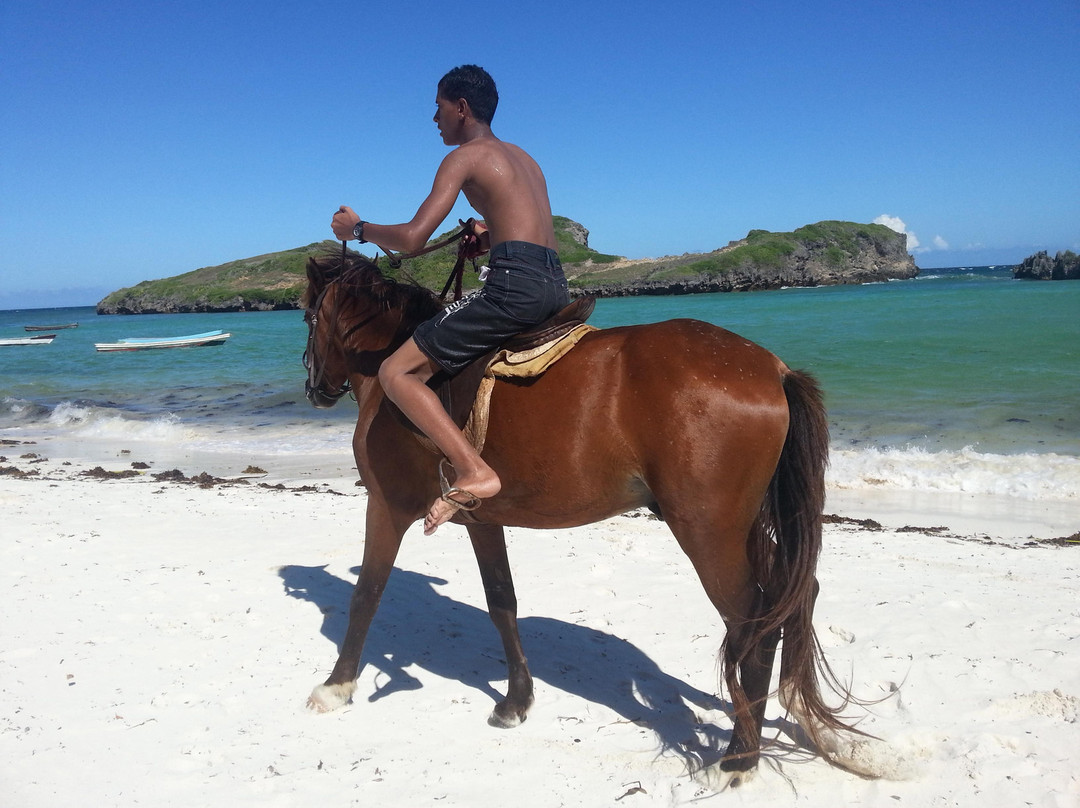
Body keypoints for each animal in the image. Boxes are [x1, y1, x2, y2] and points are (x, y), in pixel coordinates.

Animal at [300, 248, 873, 787]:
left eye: (307, 315)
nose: (316, 389)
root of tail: (772, 369)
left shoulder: (386, 504)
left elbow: (368, 592)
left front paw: (336, 685)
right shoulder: (483, 520)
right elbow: (501, 601)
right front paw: (517, 700)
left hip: (708, 531)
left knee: (754, 621)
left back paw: (740, 757)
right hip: (743, 526)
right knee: (795, 592)